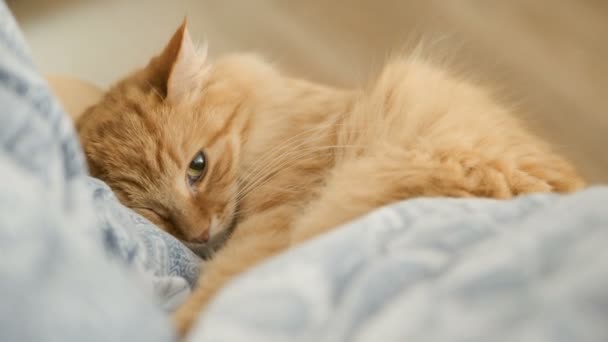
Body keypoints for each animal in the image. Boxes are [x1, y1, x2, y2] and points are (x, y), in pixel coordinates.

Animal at [76, 22, 584, 336]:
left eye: (196, 167)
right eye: (151, 212)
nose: (200, 233)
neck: (271, 118)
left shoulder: (274, 219)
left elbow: (220, 284)